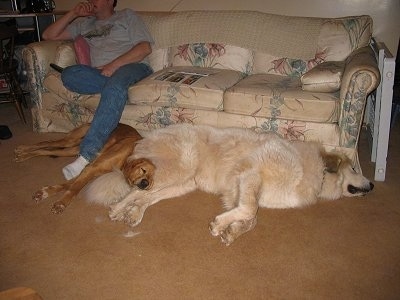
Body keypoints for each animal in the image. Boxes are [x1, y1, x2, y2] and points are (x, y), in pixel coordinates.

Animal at [14, 122, 155, 213]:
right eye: (143, 170)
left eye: (151, 180)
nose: (145, 183)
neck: (129, 155)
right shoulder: (91, 168)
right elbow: (74, 189)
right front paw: (61, 203)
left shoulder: (89, 170)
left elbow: (69, 185)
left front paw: (45, 192)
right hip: (70, 141)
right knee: (47, 142)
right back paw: (23, 149)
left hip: (73, 149)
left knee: (46, 150)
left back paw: (23, 154)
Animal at [85, 124, 376, 246]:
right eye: (354, 168)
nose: (373, 185)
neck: (311, 169)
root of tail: (144, 138)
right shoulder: (249, 175)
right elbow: (250, 211)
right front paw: (220, 225)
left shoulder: (240, 190)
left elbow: (251, 218)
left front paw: (231, 231)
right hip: (176, 170)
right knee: (136, 188)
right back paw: (117, 209)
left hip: (182, 183)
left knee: (146, 195)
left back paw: (133, 214)